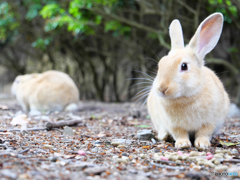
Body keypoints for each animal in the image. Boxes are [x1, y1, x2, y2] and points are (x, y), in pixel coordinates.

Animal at [147, 12, 230, 150]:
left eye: (184, 66)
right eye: (160, 64)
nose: (162, 88)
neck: (186, 97)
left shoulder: (209, 122)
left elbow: (203, 132)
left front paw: (202, 144)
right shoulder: (174, 125)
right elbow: (179, 133)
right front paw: (183, 144)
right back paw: (165, 136)